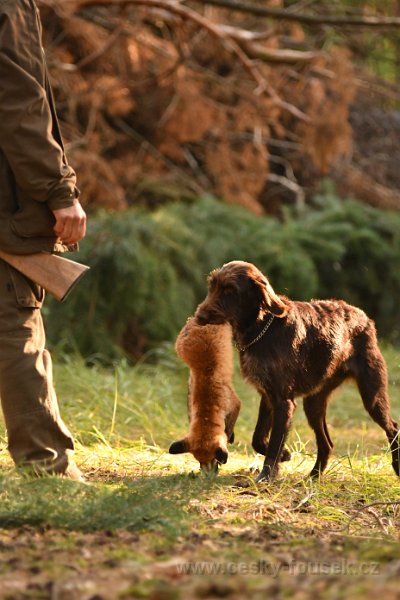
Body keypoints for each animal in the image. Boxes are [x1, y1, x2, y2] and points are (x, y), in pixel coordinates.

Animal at [169, 316, 241, 472]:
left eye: (213, 459)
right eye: (199, 461)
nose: (208, 476)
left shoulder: (235, 403)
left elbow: (228, 430)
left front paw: (230, 436)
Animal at [195, 258, 398, 482]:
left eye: (230, 289)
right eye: (212, 286)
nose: (199, 317)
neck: (261, 328)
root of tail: (364, 317)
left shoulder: (283, 402)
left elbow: (274, 442)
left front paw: (266, 476)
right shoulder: (268, 396)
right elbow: (258, 437)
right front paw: (284, 456)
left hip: (372, 396)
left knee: (393, 427)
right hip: (314, 404)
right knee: (327, 444)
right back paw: (314, 477)